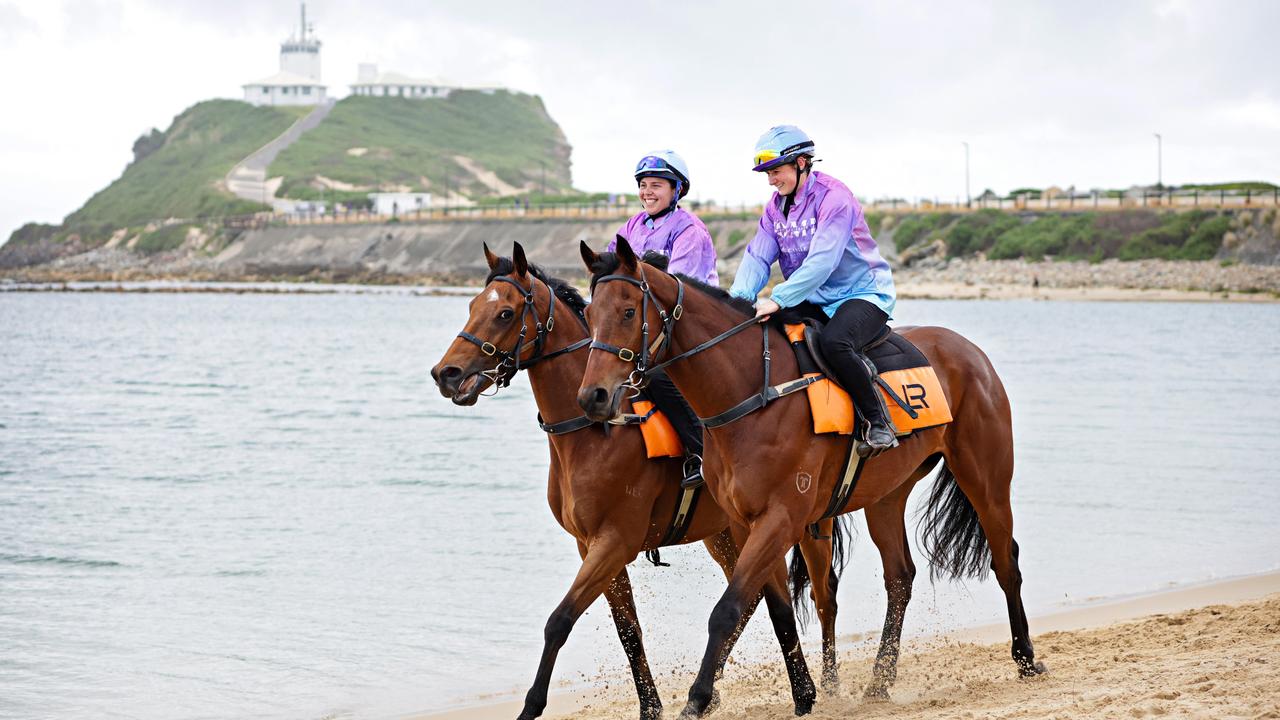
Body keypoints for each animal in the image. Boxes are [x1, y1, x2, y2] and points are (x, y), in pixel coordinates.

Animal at [430, 242, 849, 717]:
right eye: (472, 306)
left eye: (504, 313)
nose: (446, 374)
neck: (593, 431)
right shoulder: (591, 544)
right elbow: (627, 630)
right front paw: (651, 706)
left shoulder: (616, 539)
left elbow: (559, 621)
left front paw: (532, 705)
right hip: (727, 533)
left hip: (805, 522)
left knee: (823, 593)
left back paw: (828, 685)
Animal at [581, 237, 1049, 717]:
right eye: (590, 313)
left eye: (628, 312)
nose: (594, 396)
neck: (754, 391)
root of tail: (969, 350)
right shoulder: (745, 522)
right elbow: (772, 608)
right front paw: (803, 694)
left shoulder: (781, 517)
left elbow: (728, 609)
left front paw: (697, 698)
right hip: (887, 495)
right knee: (900, 577)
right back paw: (879, 681)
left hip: (985, 475)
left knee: (1005, 559)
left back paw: (1026, 658)